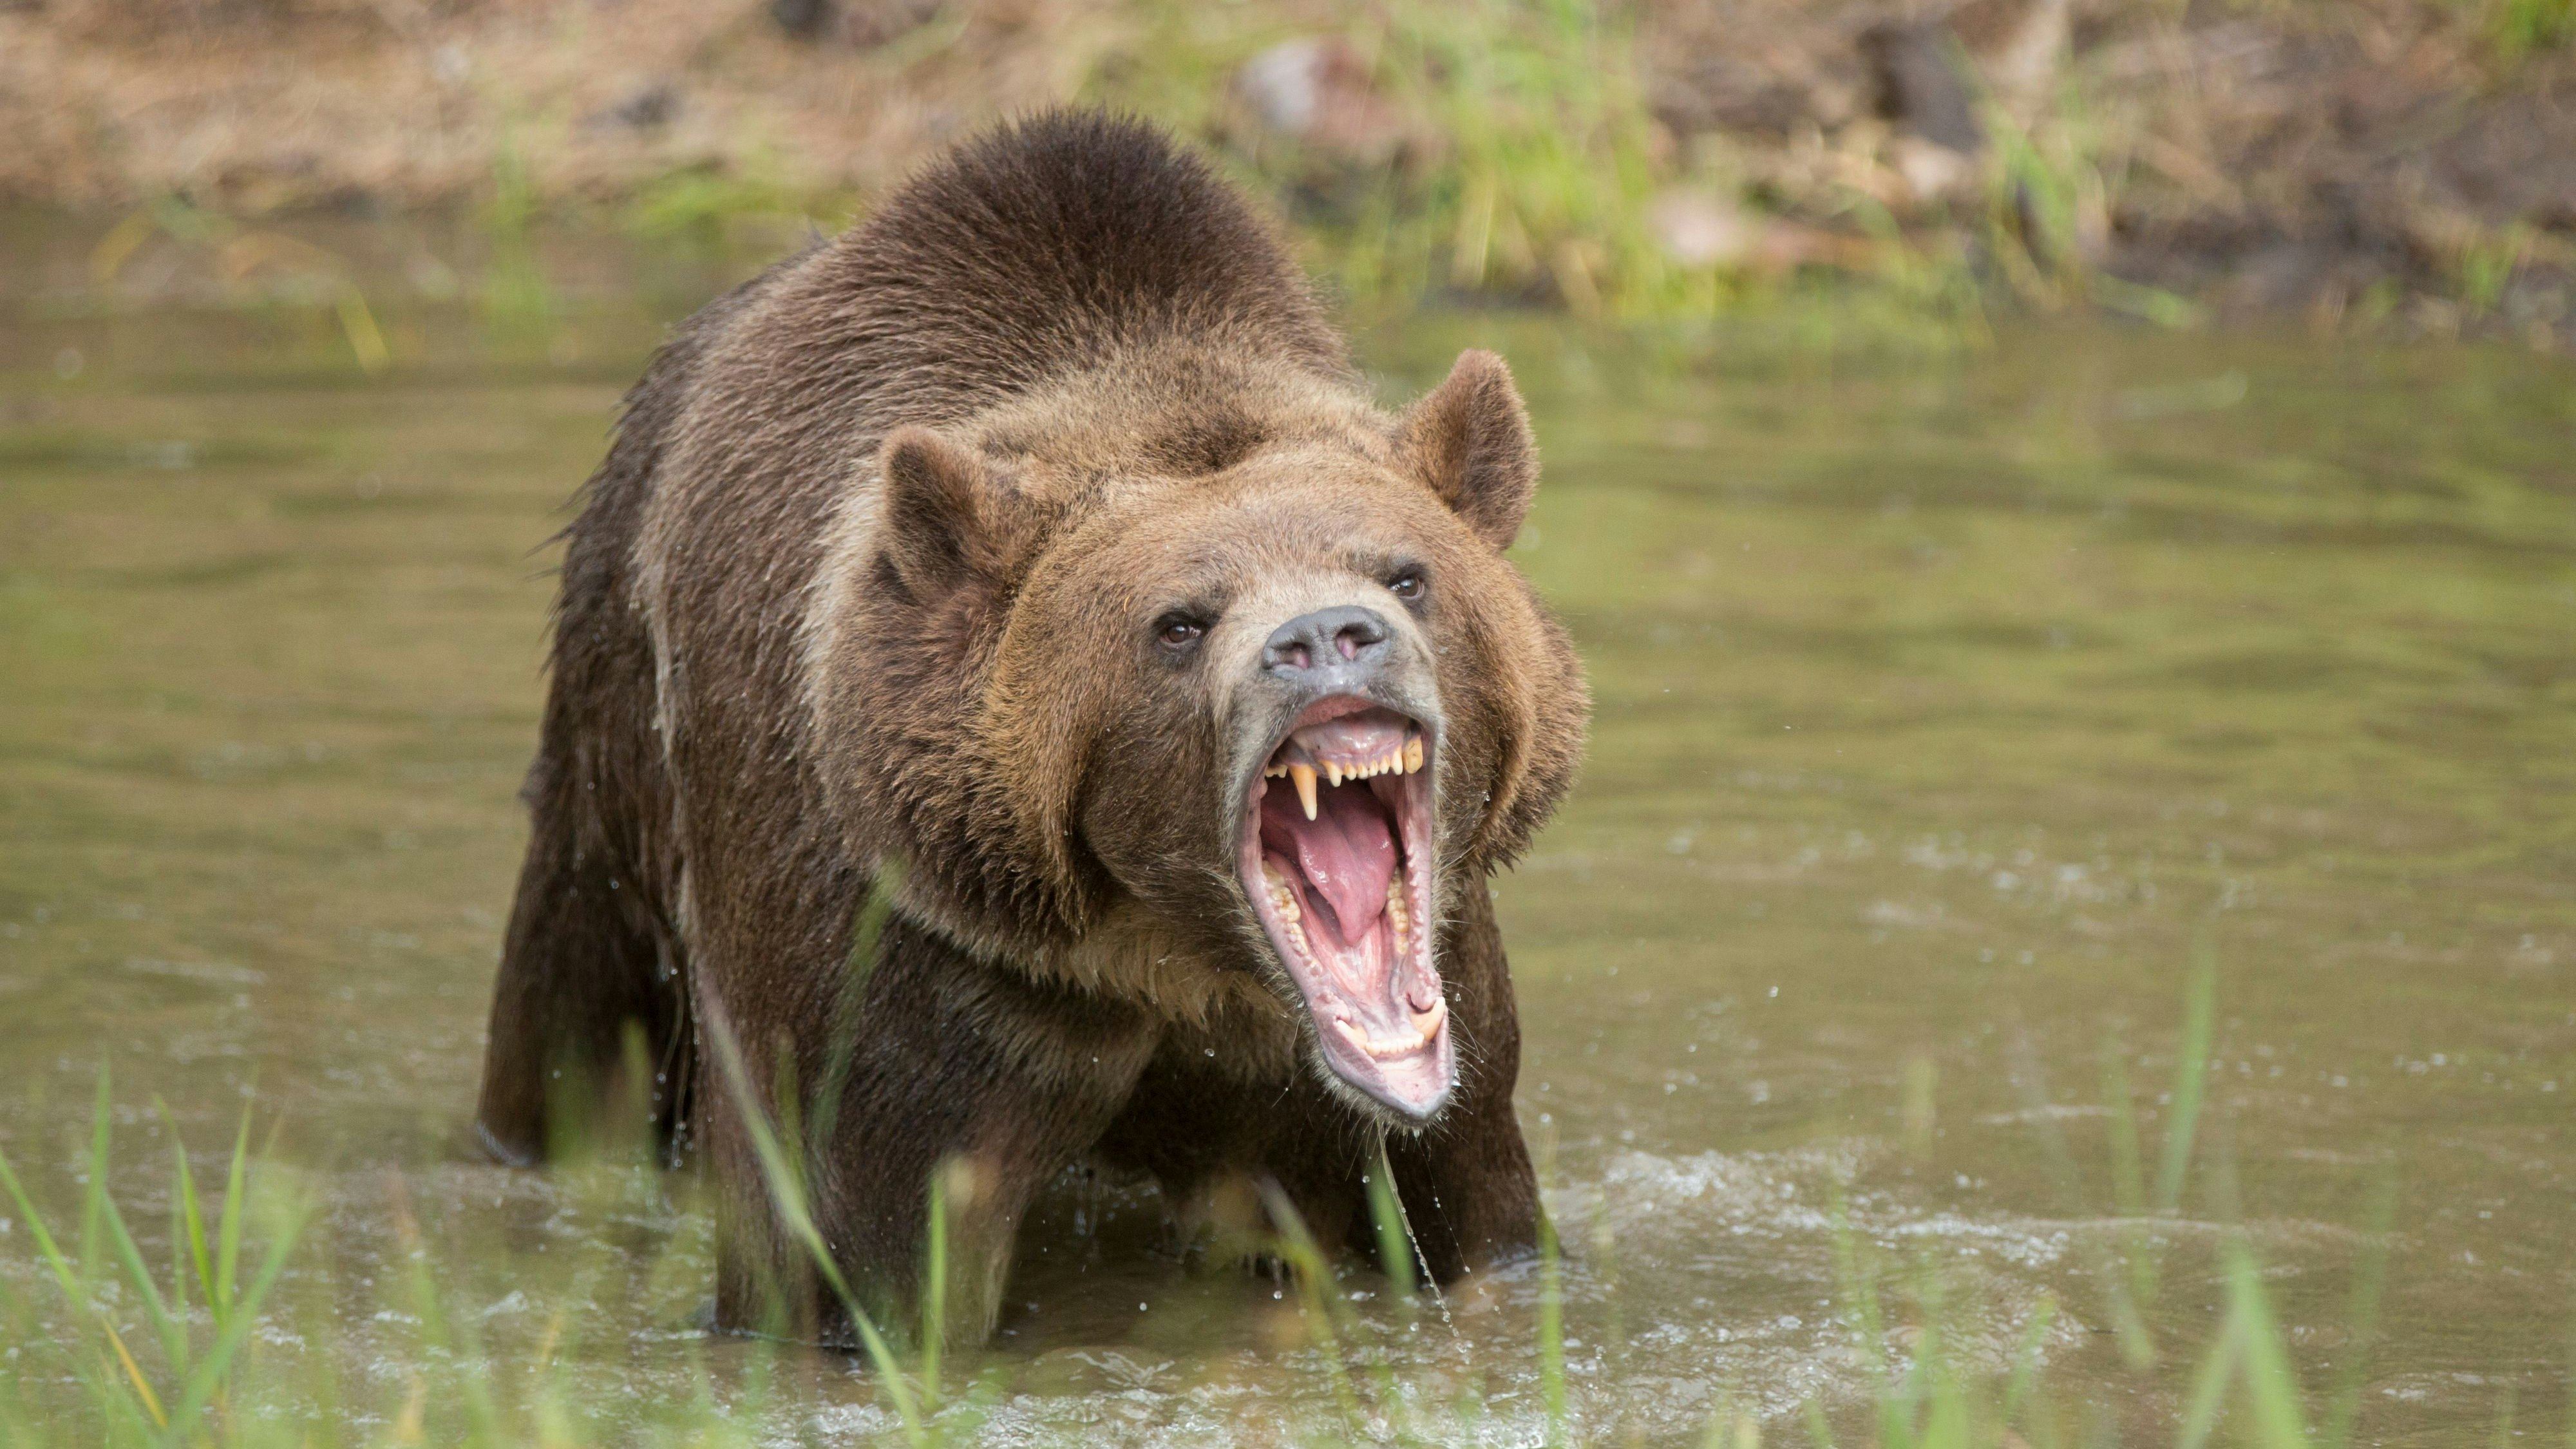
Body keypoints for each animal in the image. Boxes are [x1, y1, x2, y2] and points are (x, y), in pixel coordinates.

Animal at [472, 110, 1589, 1345]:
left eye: (1405, 572)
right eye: (1180, 621)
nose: (1327, 636)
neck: (1173, 953)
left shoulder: (1429, 1028)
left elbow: (1472, 1211)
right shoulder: (910, 970)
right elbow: (853, 1258)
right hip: (616, 749)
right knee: (576, 1018)